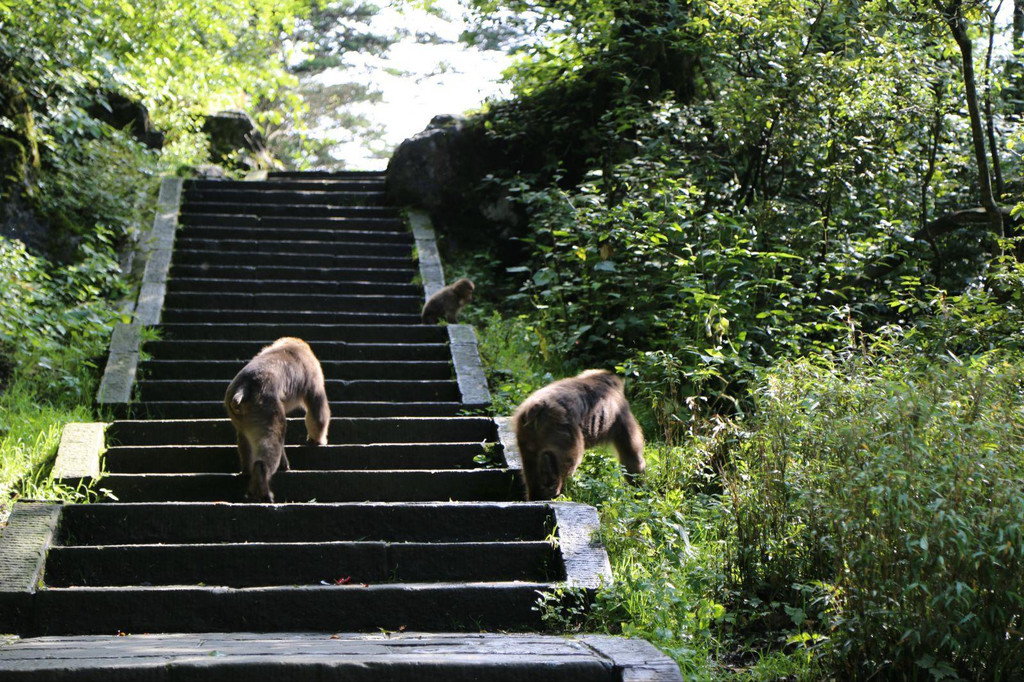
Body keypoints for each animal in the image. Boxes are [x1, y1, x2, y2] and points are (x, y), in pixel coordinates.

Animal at [223, 333, 327, 499]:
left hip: (239, 411)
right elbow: (317, 410)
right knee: (272, 438)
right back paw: (261, 479)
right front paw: (317, 440)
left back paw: (247, 472)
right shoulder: (313, 374)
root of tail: (243, 389)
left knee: (245, 438)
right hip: (265, 407)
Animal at [512, 366, 647, 499]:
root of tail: (537, 409)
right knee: (568, 461)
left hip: (528, 433)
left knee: (531, 467)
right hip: (562, 431)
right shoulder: (621, 413)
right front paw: (640, 489)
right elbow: (631, 456)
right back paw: (556, 490)